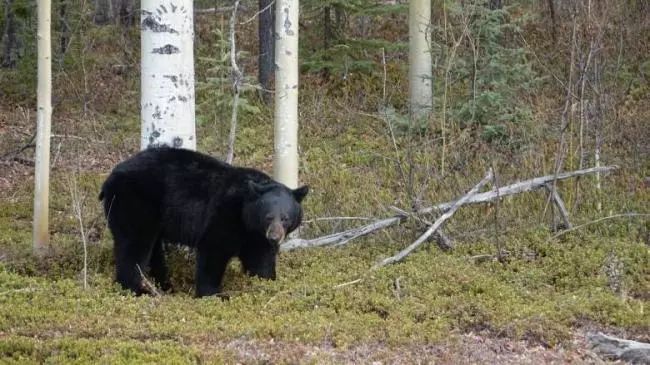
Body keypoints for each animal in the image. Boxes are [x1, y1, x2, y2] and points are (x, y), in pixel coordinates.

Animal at [98, 146, 306, 298]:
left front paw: (266, 282)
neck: (245, 216)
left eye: (286, 218)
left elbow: (260, 259)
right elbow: (213, 251)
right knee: (134, 245)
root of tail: (109, 178)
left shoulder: (254, 236)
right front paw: (214, 294)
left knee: (152, 249)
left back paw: (164, 285)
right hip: (134, 203)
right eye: (268, 216)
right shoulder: (225, 214)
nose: (275, 236)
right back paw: (137, 289)